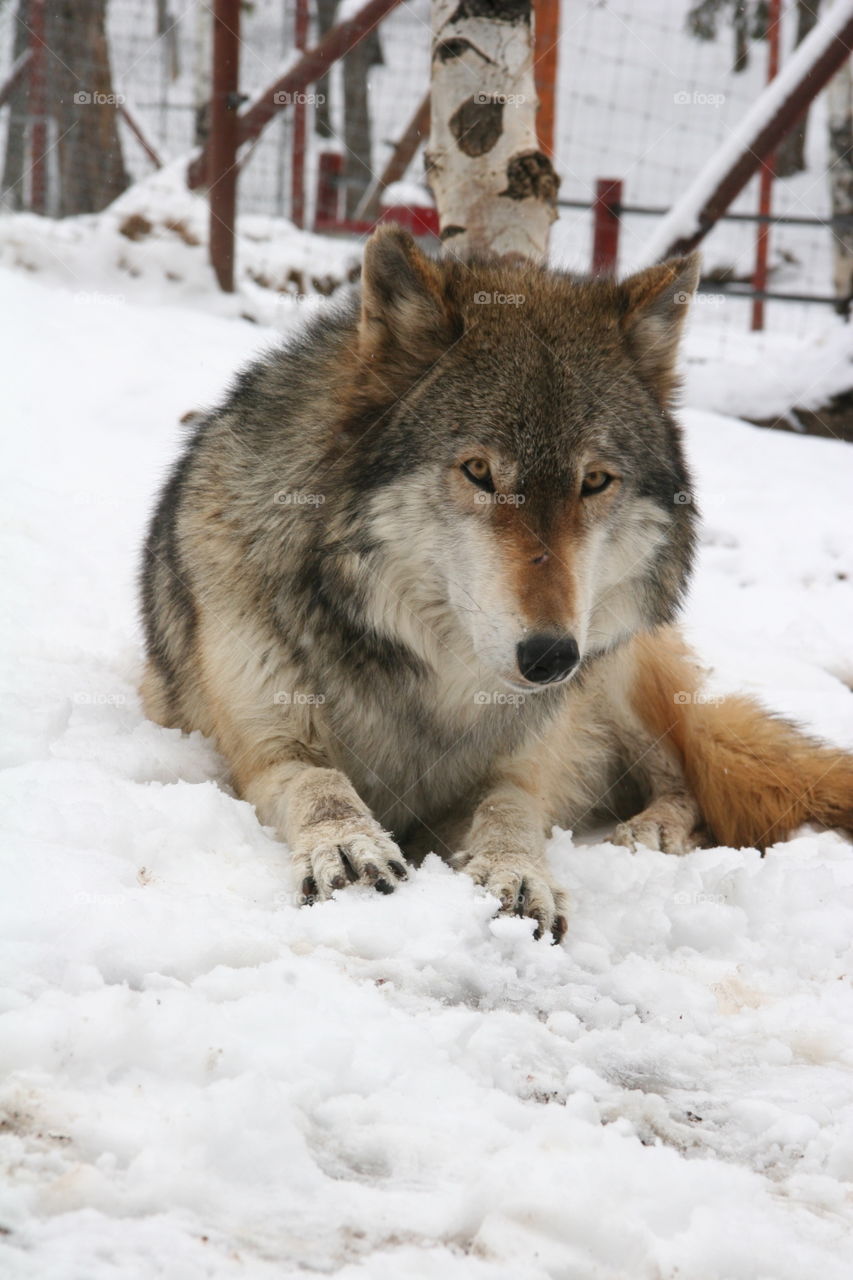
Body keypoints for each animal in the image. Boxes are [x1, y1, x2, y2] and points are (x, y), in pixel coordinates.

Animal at [140, 225, 853, 941]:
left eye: (595, 481)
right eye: (480, 471)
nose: (550, 657)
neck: (430, 674)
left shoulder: (522, 765)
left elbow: (511, 809)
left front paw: (516, 872)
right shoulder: (265, 750)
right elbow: (320, 784)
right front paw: (348, 842)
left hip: (615, 676)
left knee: (685, 779)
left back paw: (650, 833)